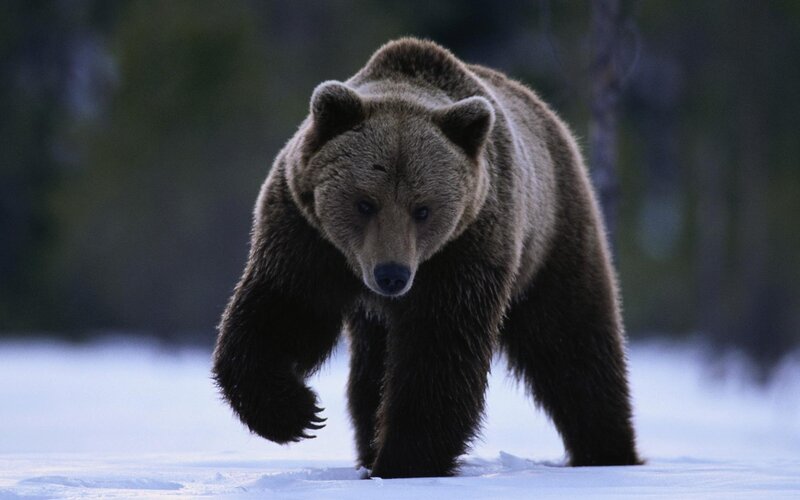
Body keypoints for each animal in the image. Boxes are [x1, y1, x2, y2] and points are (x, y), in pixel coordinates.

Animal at [212, 38, 641, 478]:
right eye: (365, 202)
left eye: (423, 209)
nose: (392, 275)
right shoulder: (306, 235)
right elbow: (283, 310)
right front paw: (296, 413)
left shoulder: (465, 249)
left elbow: (439, 350)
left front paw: (404, 460)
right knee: (370, 372)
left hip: (553, 238)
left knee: (572, 344)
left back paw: (607, 450)